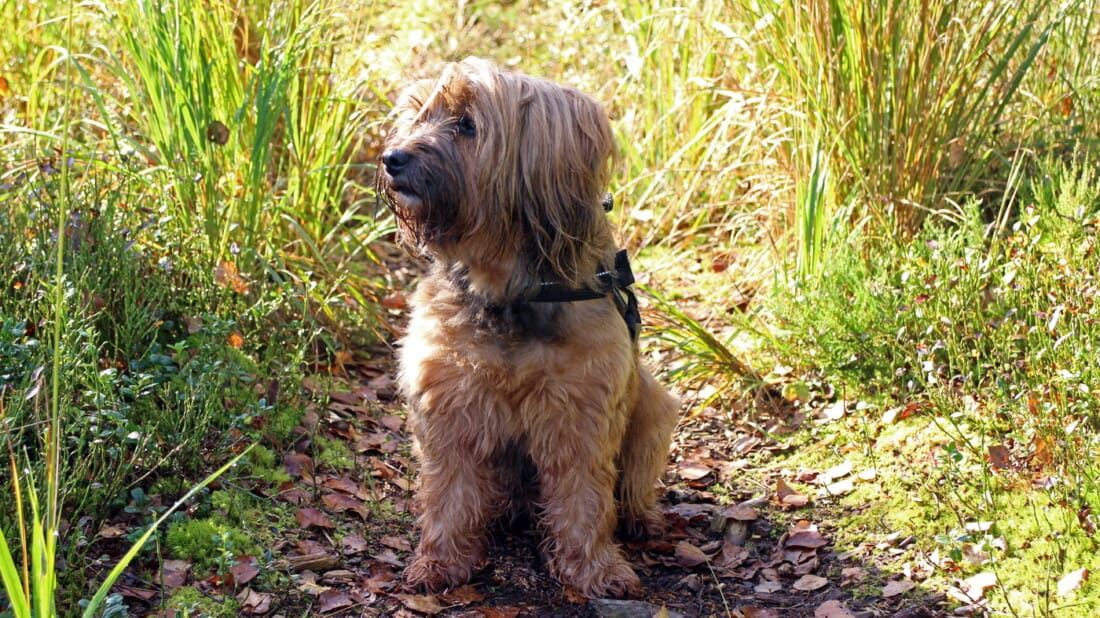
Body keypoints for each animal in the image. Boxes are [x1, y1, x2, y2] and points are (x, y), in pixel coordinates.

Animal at [378, 57, 677, 598]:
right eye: (420, 115)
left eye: (468, 125)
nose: (392, 157)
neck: (507, 290)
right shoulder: (451, 404)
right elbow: (449, 492)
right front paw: (440, 562)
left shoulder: (579, 411)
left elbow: (584, 497)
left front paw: (594, 568)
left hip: (653, 408)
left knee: (632, 486)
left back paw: (641, 519)